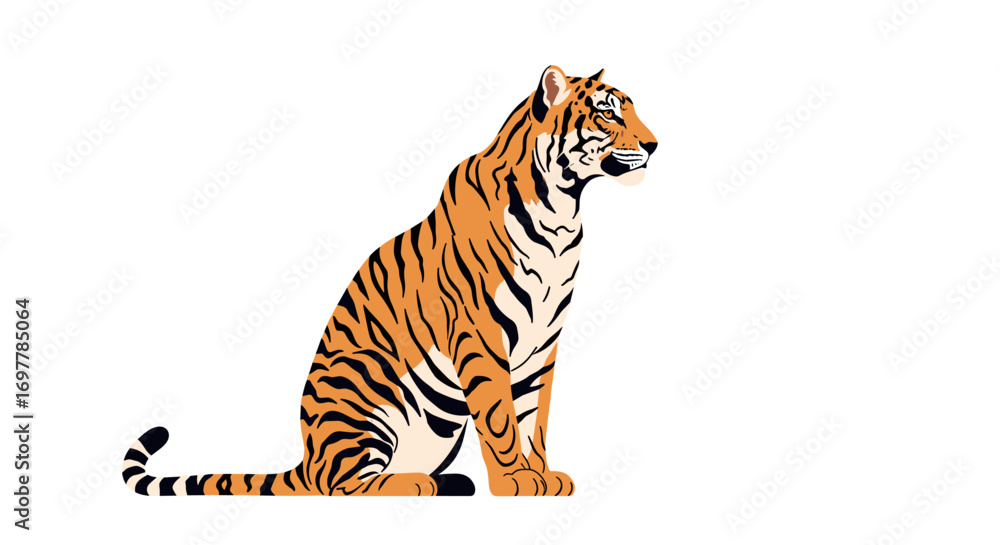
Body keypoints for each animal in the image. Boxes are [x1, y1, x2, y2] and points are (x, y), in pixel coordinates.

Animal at [123, 65, 657, 497]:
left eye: (630, 108)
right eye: (608, 115)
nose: (653, 144)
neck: (561, 209)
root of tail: (307, 458)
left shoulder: (542, 340)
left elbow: (533, 416)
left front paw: (544, 477)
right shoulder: (482, 335)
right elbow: (501, 417)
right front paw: (514, 482)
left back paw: (448, 481)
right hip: (359, 386)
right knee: (342, 485)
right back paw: (419, 484)